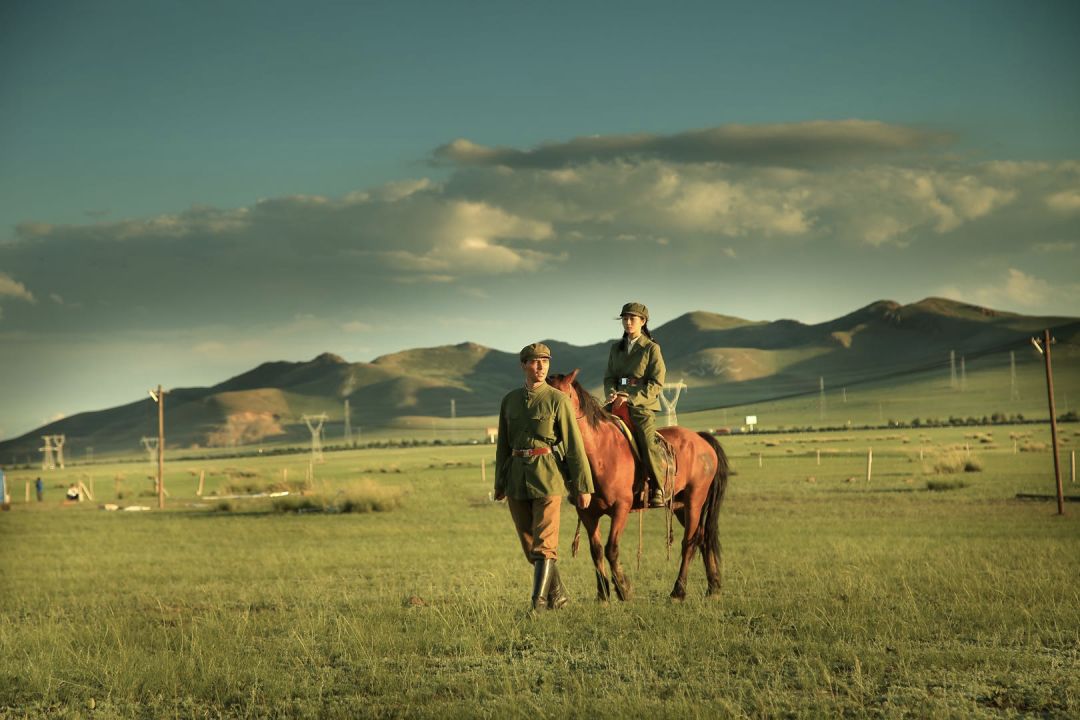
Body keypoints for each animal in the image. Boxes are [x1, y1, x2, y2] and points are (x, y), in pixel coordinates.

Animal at [544, 371, 730, 604]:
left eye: (561, 396)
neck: (600, 452)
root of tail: (701, 439)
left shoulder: (621, 508)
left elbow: (611, 549)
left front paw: (624, 589)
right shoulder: (587, 512)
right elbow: (596, 550)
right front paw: (603, 594)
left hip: (694, 501)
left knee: (690, 541)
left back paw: (678, 592)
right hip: (679, 505)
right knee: (704, 538)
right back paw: (713, 588)